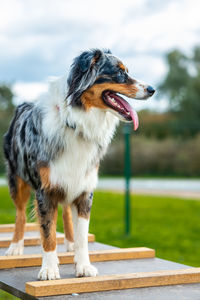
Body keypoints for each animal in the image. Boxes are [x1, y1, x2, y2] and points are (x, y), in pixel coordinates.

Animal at [3, 48, 155, 280]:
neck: (76, 122)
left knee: (65, 211)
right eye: (119, 73)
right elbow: (47, 232)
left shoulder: (84, 189)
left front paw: (83, 265)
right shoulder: (45, 190)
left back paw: (70, 243)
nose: (152, 89)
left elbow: (82, 235)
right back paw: (15, 246)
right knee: (20, 214)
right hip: (17, 180)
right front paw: (49, 269)